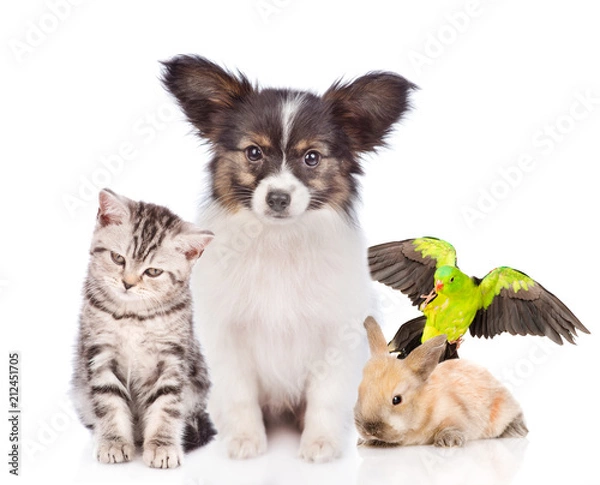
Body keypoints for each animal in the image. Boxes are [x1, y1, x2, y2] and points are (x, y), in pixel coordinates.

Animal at [71, 187, 216, 466]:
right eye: (118, 258)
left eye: (153, 272)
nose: (127, 283)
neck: (133, 316)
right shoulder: (99, 352)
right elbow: (109, 401)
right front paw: (114, 442)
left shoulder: (172, 357)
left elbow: (166, 405)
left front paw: (162, 446)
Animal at [162, 55, 414, 462]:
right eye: (254, 152)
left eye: (312, 158)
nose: (278, 197)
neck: (279, 241)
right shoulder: (228, 337)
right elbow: (239, 394)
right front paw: (245, 439)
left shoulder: (334, 336)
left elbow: (325, 397)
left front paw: (320, 443)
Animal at [354, 318, 528, 446]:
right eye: (359, 392)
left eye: (397, 399)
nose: (368, 429)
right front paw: (365, 442)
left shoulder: (457, 413)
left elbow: (454, 425)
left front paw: (448, 441)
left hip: (503, 408)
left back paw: (516, 430)